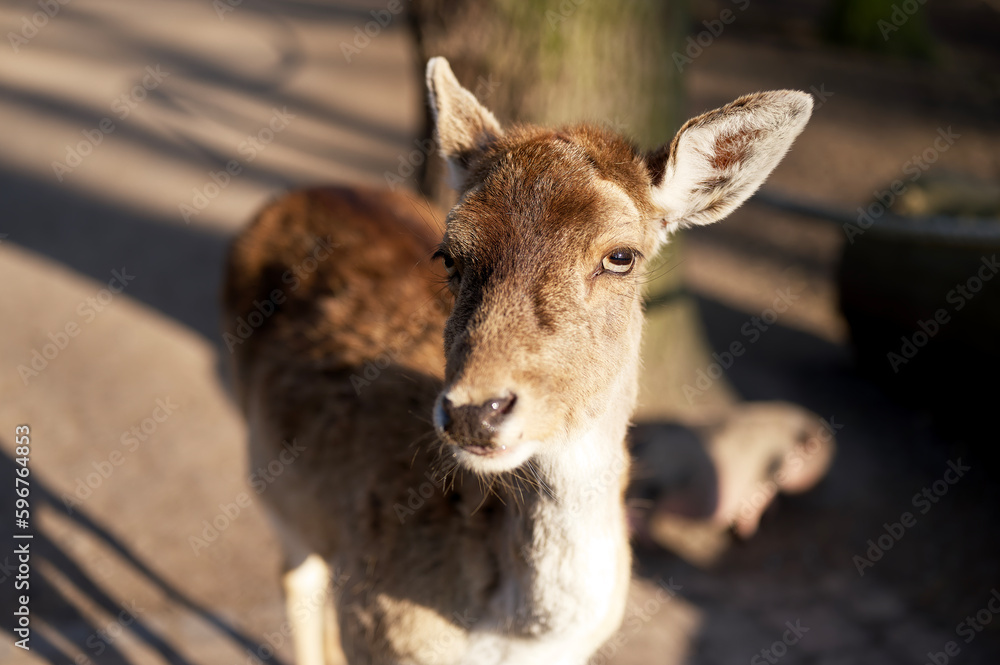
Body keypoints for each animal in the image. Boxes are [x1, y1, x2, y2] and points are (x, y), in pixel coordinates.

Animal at [221, 56, 812, 665]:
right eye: (447, 255)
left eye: (621, 256)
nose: (474, 411)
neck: (514, 635)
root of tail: (302, 193)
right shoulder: (374, 631)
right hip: (268, 473)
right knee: (295, 574)